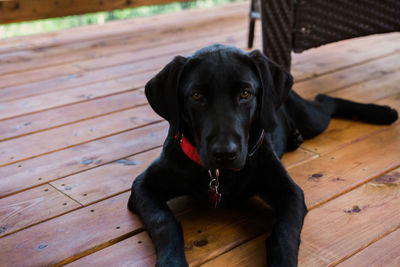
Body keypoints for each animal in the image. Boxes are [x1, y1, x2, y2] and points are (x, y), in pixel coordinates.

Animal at [128, 45, 396, 266]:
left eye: (245, 94)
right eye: (196, 96)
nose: (225, 153)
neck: (219, 175)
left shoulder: (290, 192)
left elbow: (284, 234)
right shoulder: (142, 186)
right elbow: (165, 222)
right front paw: (171, 261)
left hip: (312, 119)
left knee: (326, 100)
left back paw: (382, 112)